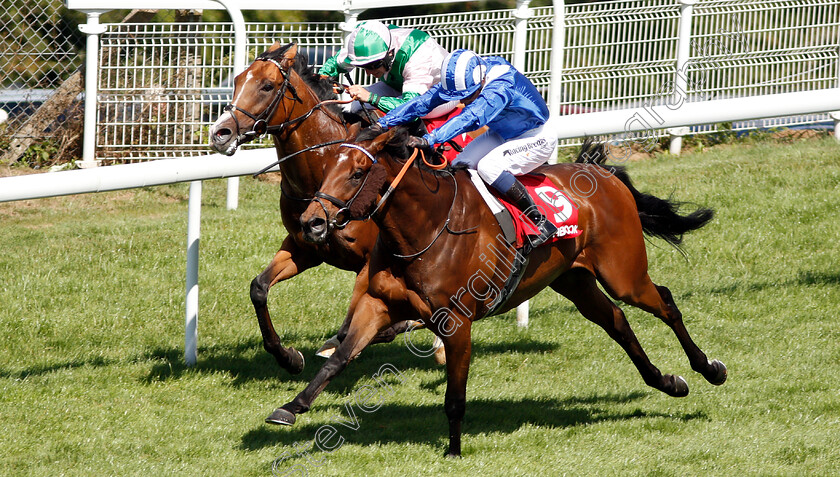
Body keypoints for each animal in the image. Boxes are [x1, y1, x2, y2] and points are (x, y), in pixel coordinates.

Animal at [207, 42, 410, 374]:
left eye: (267, 85)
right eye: (236, 81)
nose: (219, 133)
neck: (324, 172)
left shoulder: (370, 262)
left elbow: (349, 328)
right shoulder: (305, 248)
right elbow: (258, 288)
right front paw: (288, 357)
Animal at [270, 127, 728, 458]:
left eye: (356, 172)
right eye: (326, 167)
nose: (311, 223)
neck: (426, 227)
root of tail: (603, 174)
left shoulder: (456, 323)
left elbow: (455, 395)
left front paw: (454, 451)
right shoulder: (377, 303)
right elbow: (340, 357)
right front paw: (291, 407)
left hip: (624, 274)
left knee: (665, 303)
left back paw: (709, 369)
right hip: (573, 280)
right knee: (615, 320)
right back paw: (668, 382)